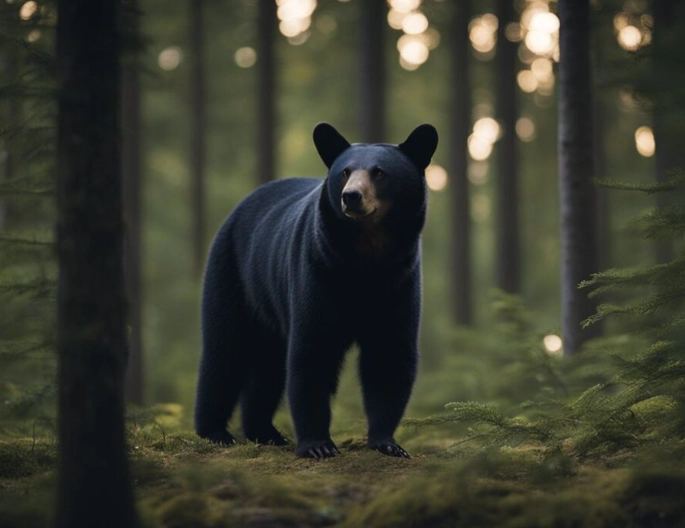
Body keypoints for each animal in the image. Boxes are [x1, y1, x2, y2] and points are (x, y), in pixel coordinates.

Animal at [194, 123, 438, 458]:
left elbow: (389, 355)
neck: (367, 261)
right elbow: (312, 352)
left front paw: (387, 442)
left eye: (379, 172)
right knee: (224, 352)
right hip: (233, 275)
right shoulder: (318, 272)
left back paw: (265, 431)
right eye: (345, 171)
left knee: (266, 366)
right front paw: (317, 444)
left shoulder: (399, 282)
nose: (351, 196)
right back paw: (215, 431)